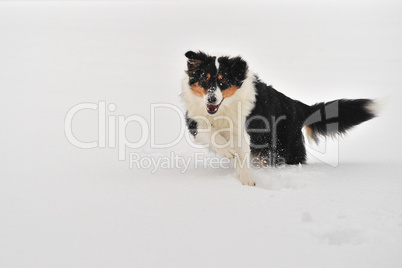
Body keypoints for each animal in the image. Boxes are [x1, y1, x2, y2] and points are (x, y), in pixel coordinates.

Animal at [182, 50, 376, 185]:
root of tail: (298, 106)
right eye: (204, 80)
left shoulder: (245, 130)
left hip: (285, 149)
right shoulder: (194, 120)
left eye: (223, 82)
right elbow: (210, 131)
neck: (223, 109)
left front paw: (247, 181)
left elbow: (241, 154)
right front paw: (227, 151)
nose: (211, 99)